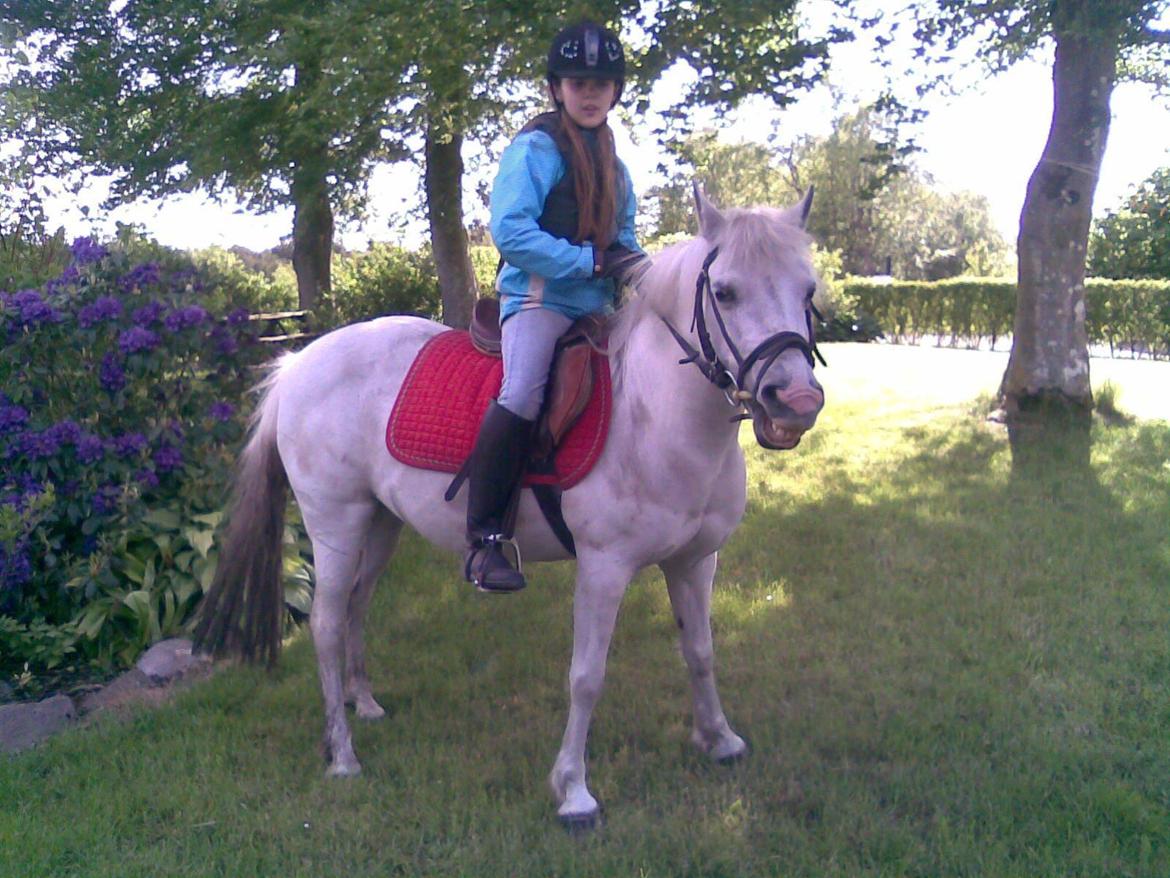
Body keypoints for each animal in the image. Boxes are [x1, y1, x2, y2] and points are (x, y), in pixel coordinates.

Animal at [195, 186, 825, 829]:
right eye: (724, 292)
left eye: (808, 291)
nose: (796, 401)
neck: (653, 414)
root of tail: (299, 362)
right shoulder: (604, 568)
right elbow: (586, 677)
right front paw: (573, 789)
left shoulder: (695, 562)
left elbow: (700, 651)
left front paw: (719, 739)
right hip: (335, 525)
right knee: (324, 624)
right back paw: (343, 754)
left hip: (380, 524)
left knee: (355, 608)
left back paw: (364, 704)